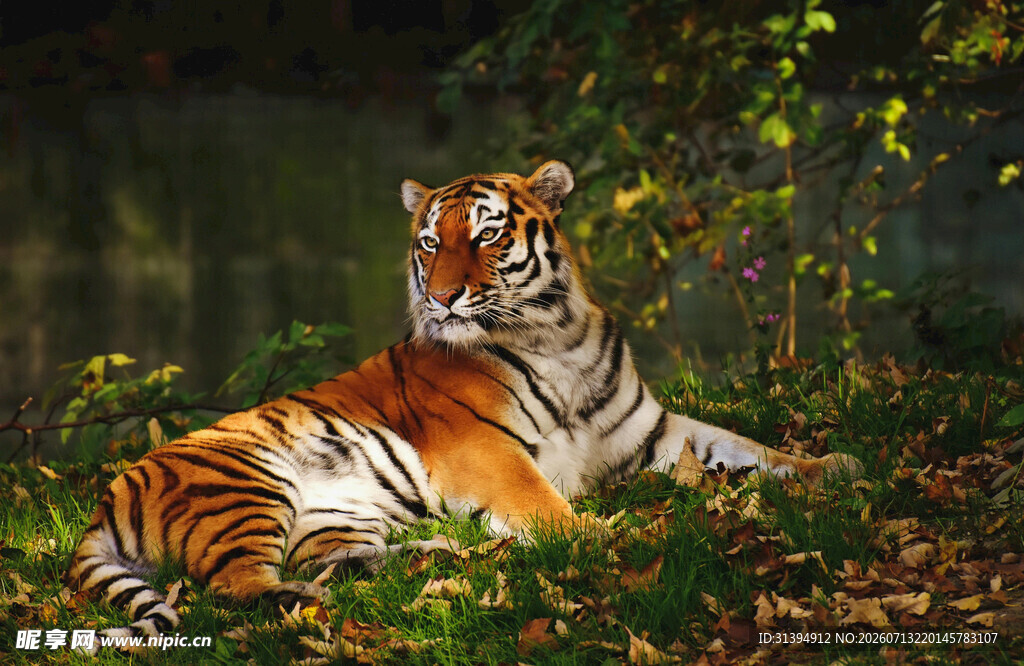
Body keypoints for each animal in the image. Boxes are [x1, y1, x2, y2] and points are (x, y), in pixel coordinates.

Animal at [65, 160, 859, 644]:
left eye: (486, 234)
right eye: (427, 242)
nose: (444, 296)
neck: (557, 335)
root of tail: (109, 493)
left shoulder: (650, 430)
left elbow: (745, 447)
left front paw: (835, 467)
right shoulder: (485, 447)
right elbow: (544, 502)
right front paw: (605, 534)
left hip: (337, 512)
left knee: (340, 560)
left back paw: (448, 552)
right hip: (247, 483)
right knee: (234, 586)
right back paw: (308, 603)